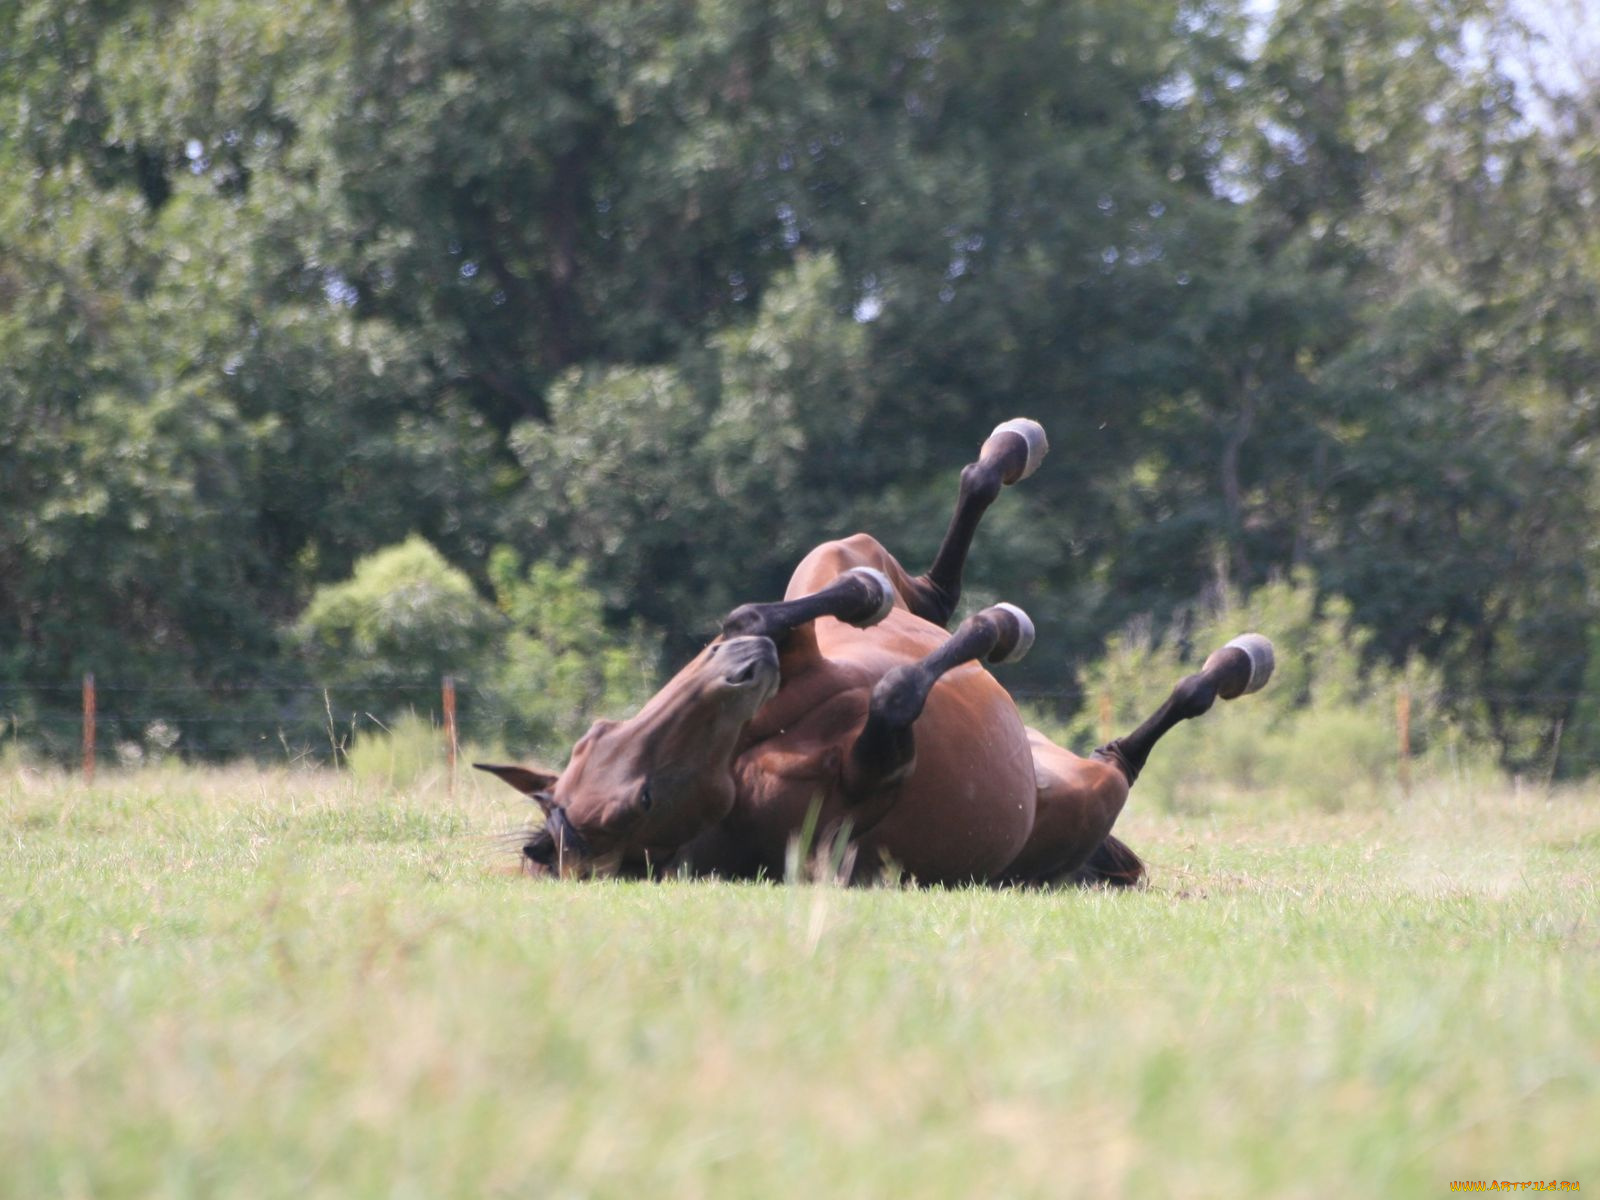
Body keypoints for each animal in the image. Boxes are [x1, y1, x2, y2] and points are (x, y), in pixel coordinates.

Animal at [476, 419, 1273, 883]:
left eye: (596, 733)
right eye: (641, 803)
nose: (741, 670)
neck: (751, 750)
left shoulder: (800, 646)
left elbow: (758, 611)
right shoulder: (873, 779)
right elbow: (897, 695)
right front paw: (997, 626)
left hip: (831, 554)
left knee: (921, 584)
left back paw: (1007, 452)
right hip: (1090, 794)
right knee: (1130, 748)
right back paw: (1229, 665)